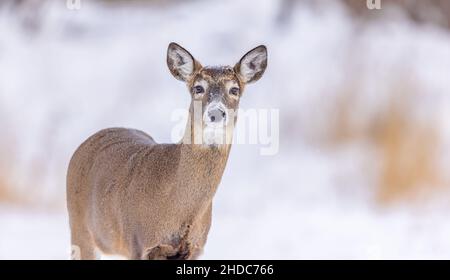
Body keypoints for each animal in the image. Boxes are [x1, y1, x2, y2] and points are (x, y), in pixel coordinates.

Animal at [66, 42, 268, 260]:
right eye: (198, 88)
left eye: (234, 89)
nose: (216, 112)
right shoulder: (138, 242)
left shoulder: (195, 248)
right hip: (79, 228)